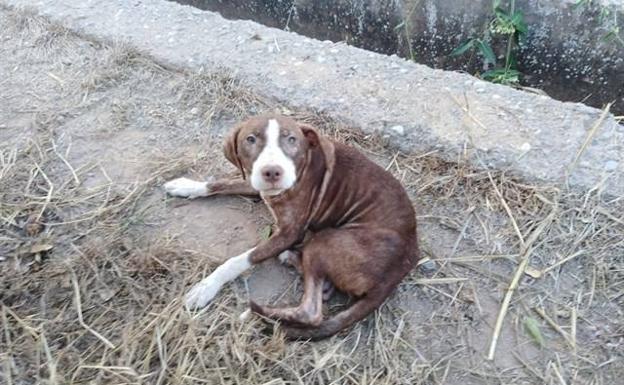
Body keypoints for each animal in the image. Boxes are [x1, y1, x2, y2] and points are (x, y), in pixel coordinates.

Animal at [166, 114, 420, 340]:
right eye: (251, 139)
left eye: (291, 139)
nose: (272, 172)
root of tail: (401, 267)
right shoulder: (254, 182)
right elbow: (220, 183)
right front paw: (188, 186)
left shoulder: (290, 232)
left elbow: (239, 260)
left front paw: (206, 287)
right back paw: (295, 264)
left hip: (326, 240)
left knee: (311, 313)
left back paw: (257, 315)